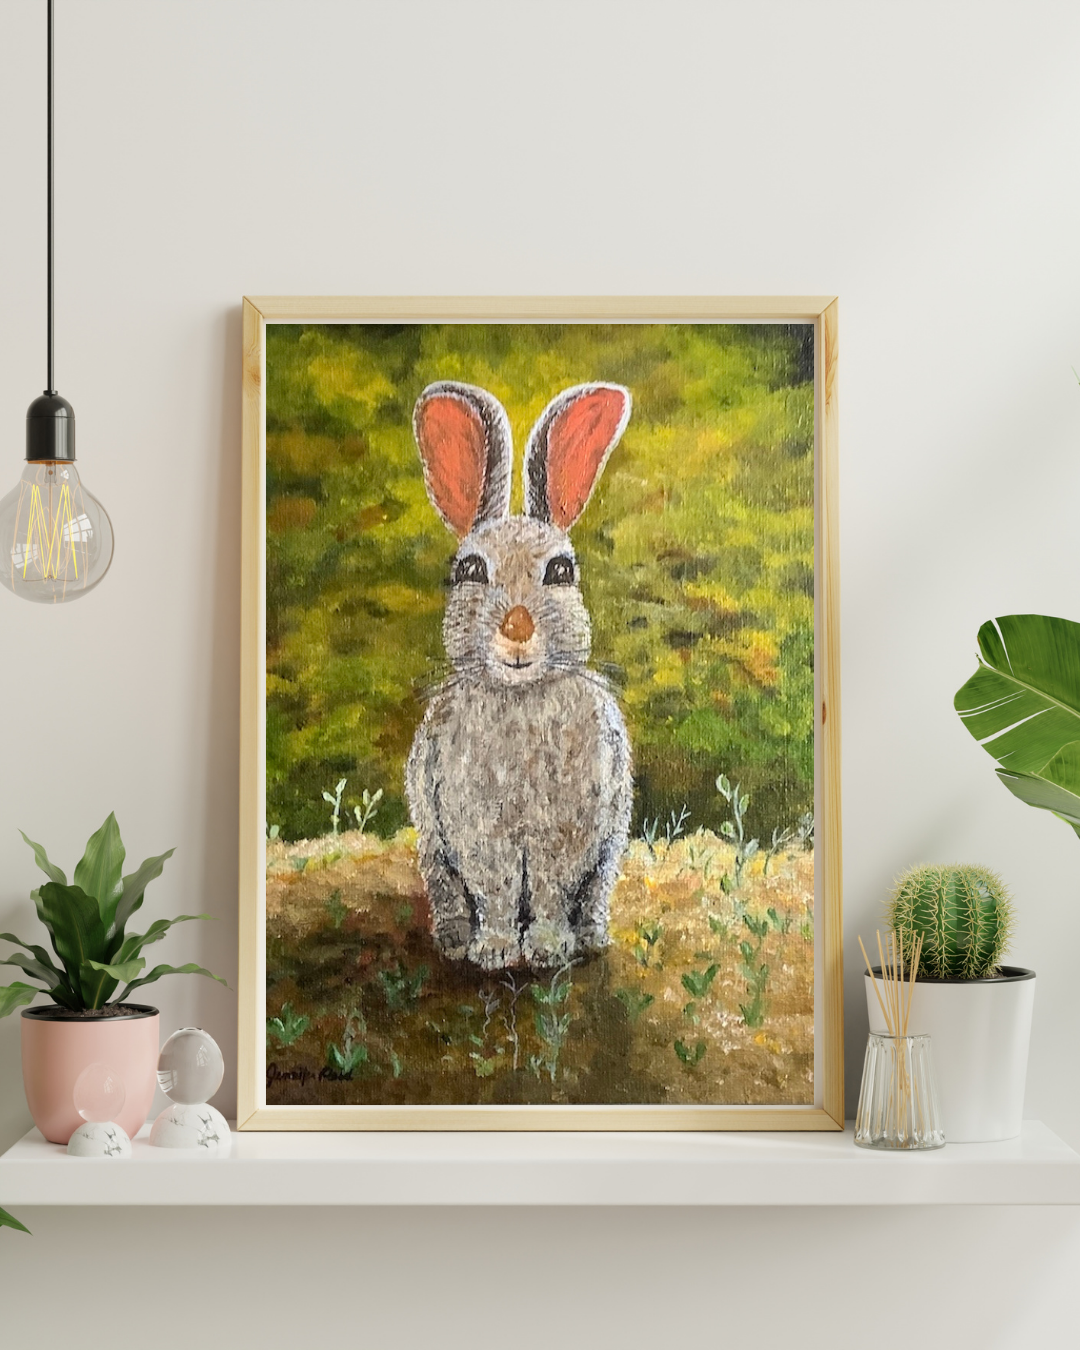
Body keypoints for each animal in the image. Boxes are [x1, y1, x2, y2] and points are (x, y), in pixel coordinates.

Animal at [405, 380, 634, 972]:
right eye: (470, 570)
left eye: (561, 571)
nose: (516, 630)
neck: (520, 698)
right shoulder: (478, 834)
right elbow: (499, 891)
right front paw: (497, 950)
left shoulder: (570, 834)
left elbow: (551, 890)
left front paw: (549, 948)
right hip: (434, 855)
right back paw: (454, 941)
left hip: (609, 855)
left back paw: (592, 938)